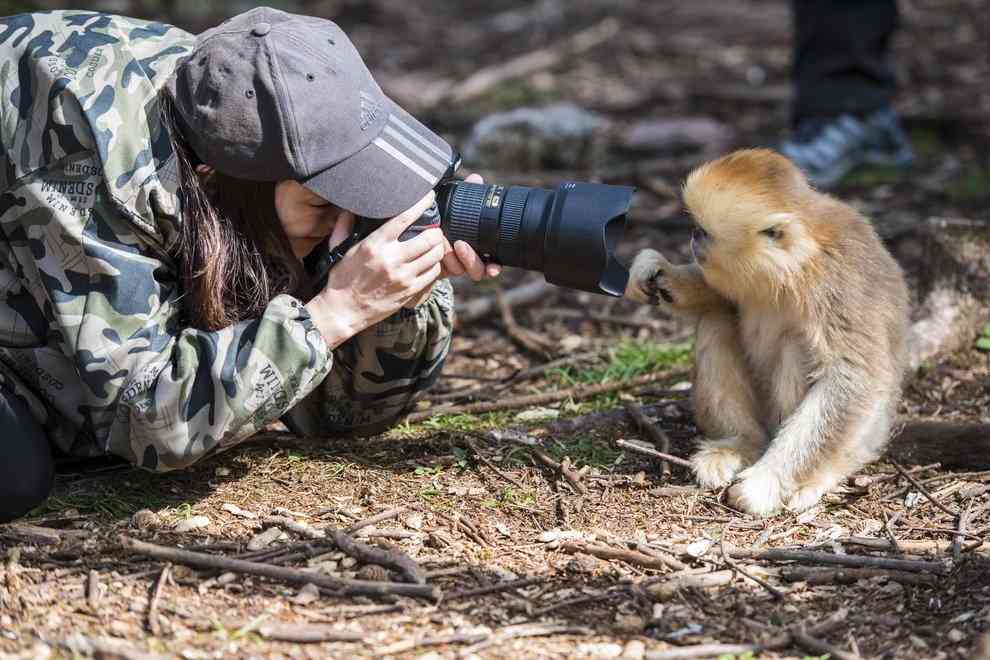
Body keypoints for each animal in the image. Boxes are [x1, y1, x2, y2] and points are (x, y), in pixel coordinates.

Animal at [632, 148, 912, 516]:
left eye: (705, 231)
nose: (693, 236)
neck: (794, 268)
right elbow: (719, 298)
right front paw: (659, 272)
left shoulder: (837, 282)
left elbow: (852, 378)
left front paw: (765, 483)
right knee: (716, 321)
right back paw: (742, 444)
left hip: (866, 436)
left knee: (796, 347)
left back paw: (819, 478)